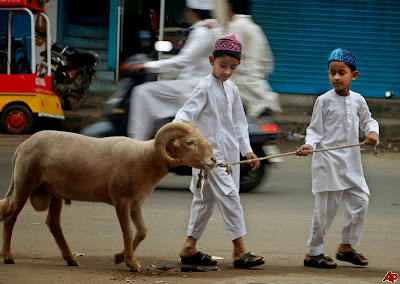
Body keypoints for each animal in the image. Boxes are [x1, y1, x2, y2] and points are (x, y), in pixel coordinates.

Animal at [0, 121, 216, 272]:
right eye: (190, 142)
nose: (213, 160)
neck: (145, 158)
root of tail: (21, 147)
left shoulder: (136, 203)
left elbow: (142, 231)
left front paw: (120, 257)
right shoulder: (121, 201)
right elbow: (128, 232)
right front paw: (132, 263)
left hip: (54, 192)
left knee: (53, 223)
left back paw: (70, 258)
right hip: (25, 182)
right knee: (11, 217)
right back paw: (8, 256)